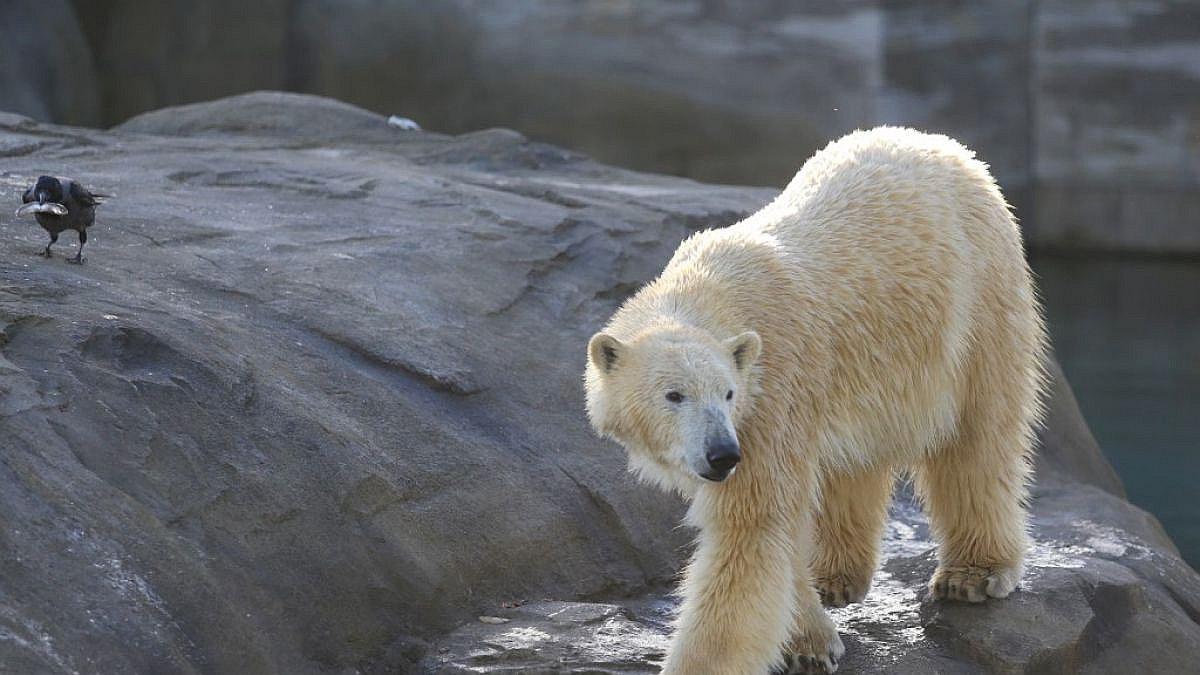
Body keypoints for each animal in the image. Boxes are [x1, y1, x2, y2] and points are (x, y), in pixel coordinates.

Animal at [584, 126, 1047, 674]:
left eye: (727, 393)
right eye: (674, 395)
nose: (721, 455)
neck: (712, 289)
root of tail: (945, 145)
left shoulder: (770, 394)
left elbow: (752, 530)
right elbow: (778, 529)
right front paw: (807, 638)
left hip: (980, 298)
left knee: (979, 433)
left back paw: (974, 572)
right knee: (855, 459)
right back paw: (835, 574)